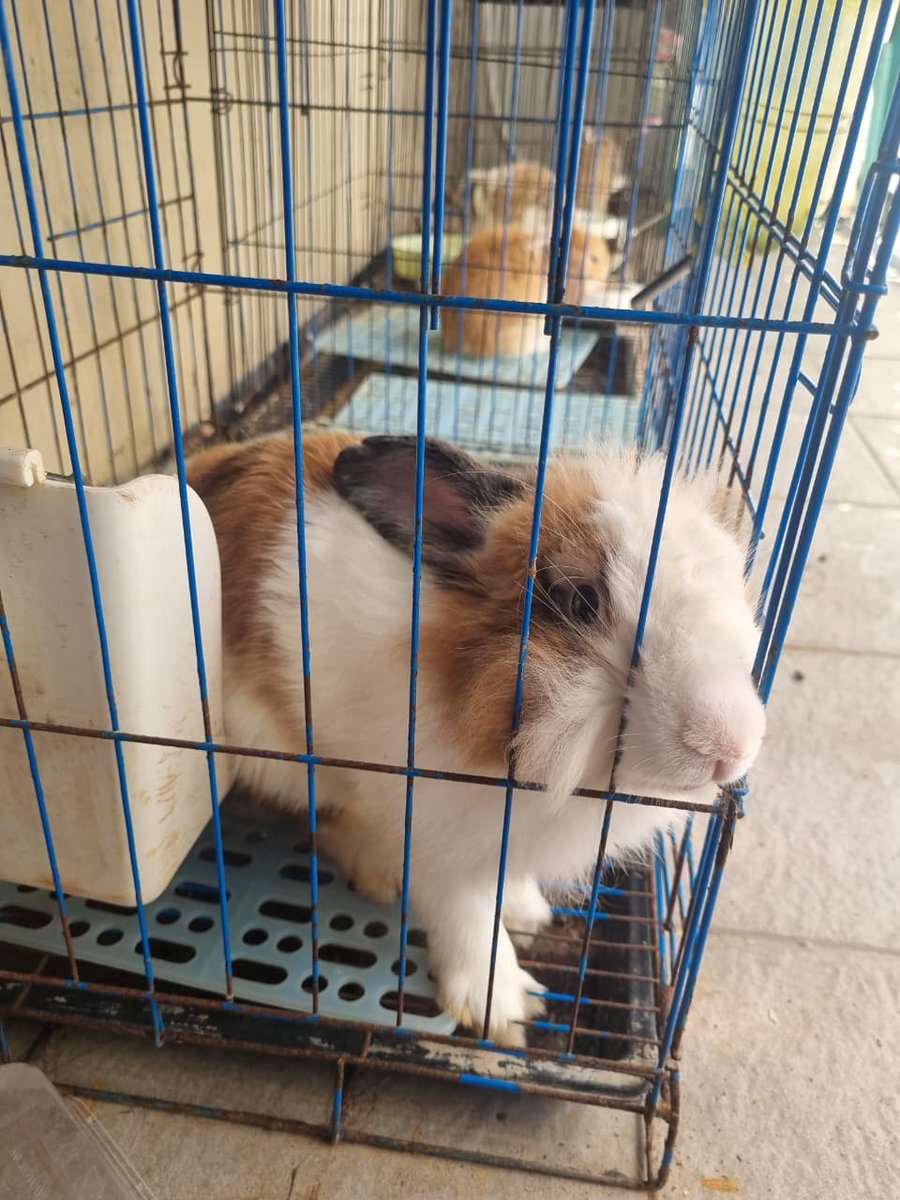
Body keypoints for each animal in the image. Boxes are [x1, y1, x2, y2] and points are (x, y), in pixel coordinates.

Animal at [188, 430, 766, 1046]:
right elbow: (468, 919)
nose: (729, 746)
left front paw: (528, 914)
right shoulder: (436, 830)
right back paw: (380, 873)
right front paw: (506, 1009)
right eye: (581, 601)